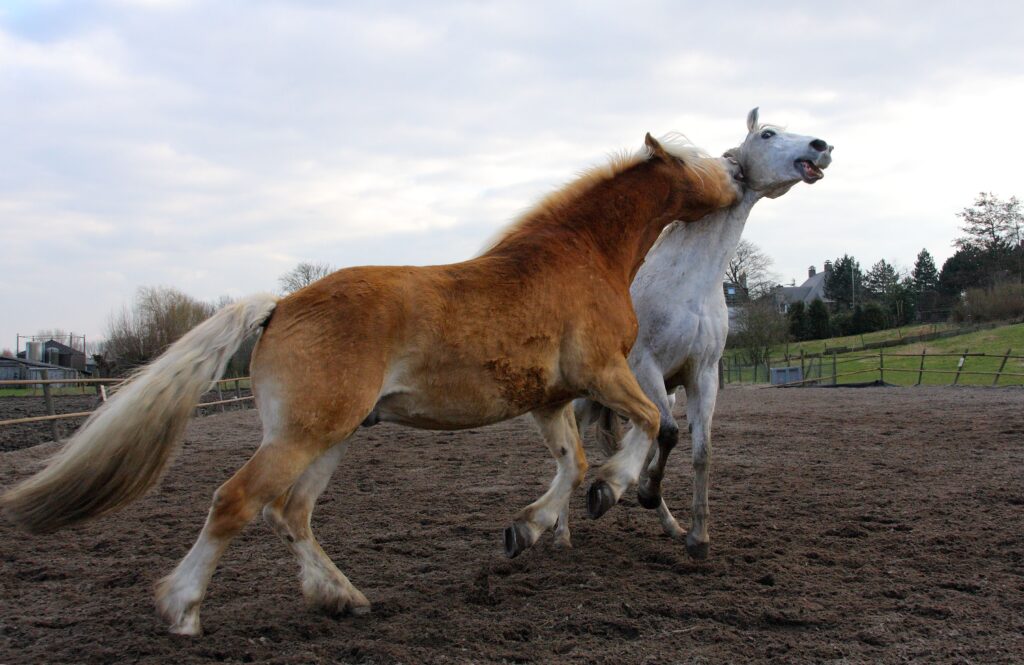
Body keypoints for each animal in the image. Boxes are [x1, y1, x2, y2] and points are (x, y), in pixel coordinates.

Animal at [2, 133, 742, 635]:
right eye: (697, 160)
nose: (736, 181)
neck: (582, 255)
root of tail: (280, 305)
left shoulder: (550, 400)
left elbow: (572, 462)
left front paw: (528, 529)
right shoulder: (604, 373)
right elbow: (648, 425)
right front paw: (610, 492)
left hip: (330, 437)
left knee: (290, 512)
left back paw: (343, 597)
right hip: (303, 435)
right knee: (237, 501)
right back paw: (183, 609)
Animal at [575, 108, 833, 559]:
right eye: (768, 134)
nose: (821, 146)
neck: (691, 284)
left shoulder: (703, 374)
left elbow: (700, 451)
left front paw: (697, 536)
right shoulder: (646, 368)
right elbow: (670, 433)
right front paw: (644, 495)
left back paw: (656, 517)